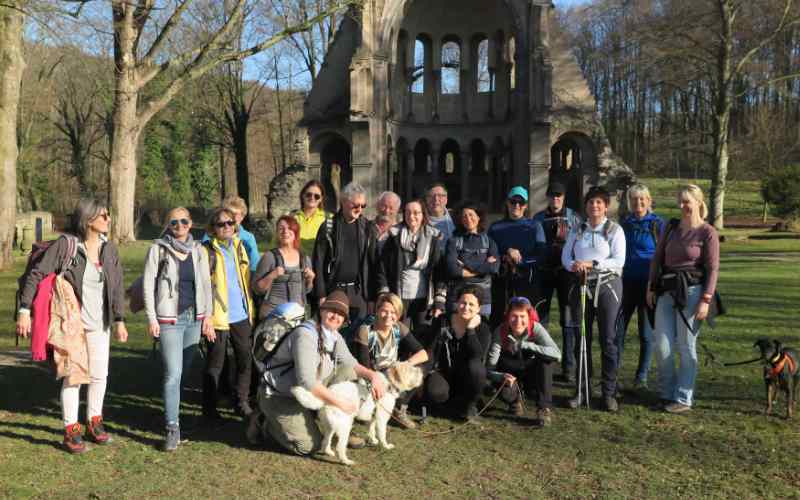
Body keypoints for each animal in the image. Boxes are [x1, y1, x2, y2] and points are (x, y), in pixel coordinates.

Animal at [290, 364, 424, 464]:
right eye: (412, 370)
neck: (389, 384)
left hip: (331, 426)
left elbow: (371, 430)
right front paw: (385, 446)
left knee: (325, 441)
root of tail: (326, 397)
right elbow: (382, 434)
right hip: (345, 426)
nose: (422, 371)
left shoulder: (373, 417)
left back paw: (329, 452)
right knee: (340, 447)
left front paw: (373, 440)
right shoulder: (381, 418)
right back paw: (346, 461)